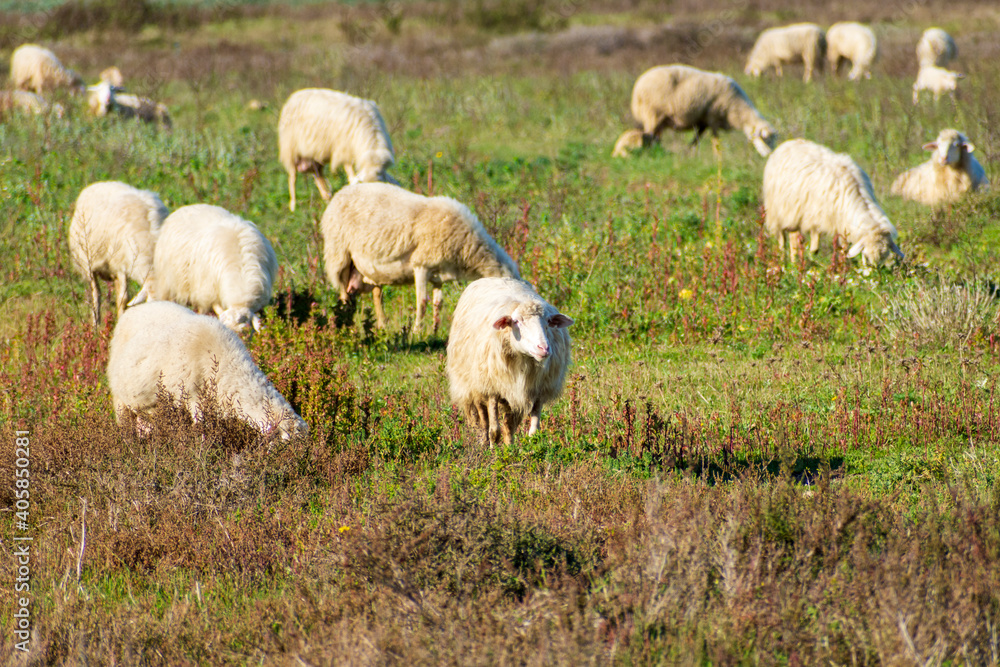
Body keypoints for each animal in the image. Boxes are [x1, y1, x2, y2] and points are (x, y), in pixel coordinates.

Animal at [107, 301, 307, 441]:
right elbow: (203, 434)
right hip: (120, 402)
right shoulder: (194, 401)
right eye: (286, 444)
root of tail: (135, 309)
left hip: (148, 412)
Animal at [320, 181, 520, 334]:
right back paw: (348, 326)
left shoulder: (440, 274)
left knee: (374, 295)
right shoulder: (421, 265)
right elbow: (422, 302)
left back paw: (382, 325)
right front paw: (417, 331)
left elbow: (438, 303)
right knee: (344, 296)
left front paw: (435, 330)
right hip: (339, 255)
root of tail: (339, 193)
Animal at [446, 277, 573, 447]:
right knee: (483, 419)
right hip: (474, 383)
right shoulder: (492, 388)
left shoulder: (538, 390)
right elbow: (494, 431)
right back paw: (484, 443)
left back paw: (510, 446)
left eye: (548, 322)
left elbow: (533, 432)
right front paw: (494, 450)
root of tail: (493, 277)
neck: (524, 359)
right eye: (517, 321)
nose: (544, 348)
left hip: (510, 392)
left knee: (508, 425)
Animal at [629, 64, 777, 157]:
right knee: (648, 136)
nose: (769, 155)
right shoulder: (713, 118)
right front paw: (717, 157)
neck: (738, 108)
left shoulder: (703, 122)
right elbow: (715, 141)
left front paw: (688, 152)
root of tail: (637, 88)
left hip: (659, 120)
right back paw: (649, 154)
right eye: (766, 139)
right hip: (652, 114)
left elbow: (696, 139)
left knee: (656, 138)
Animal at [763, 138, 904, 266]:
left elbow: (842, 248)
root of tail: (787, 143)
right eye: (866, 256)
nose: (876, 275)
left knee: (794, 238)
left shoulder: (839, 223)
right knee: (783, 240)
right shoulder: (822, 219)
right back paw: (785, 263)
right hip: (779, 211)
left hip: (795, 213)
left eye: (884, 257)